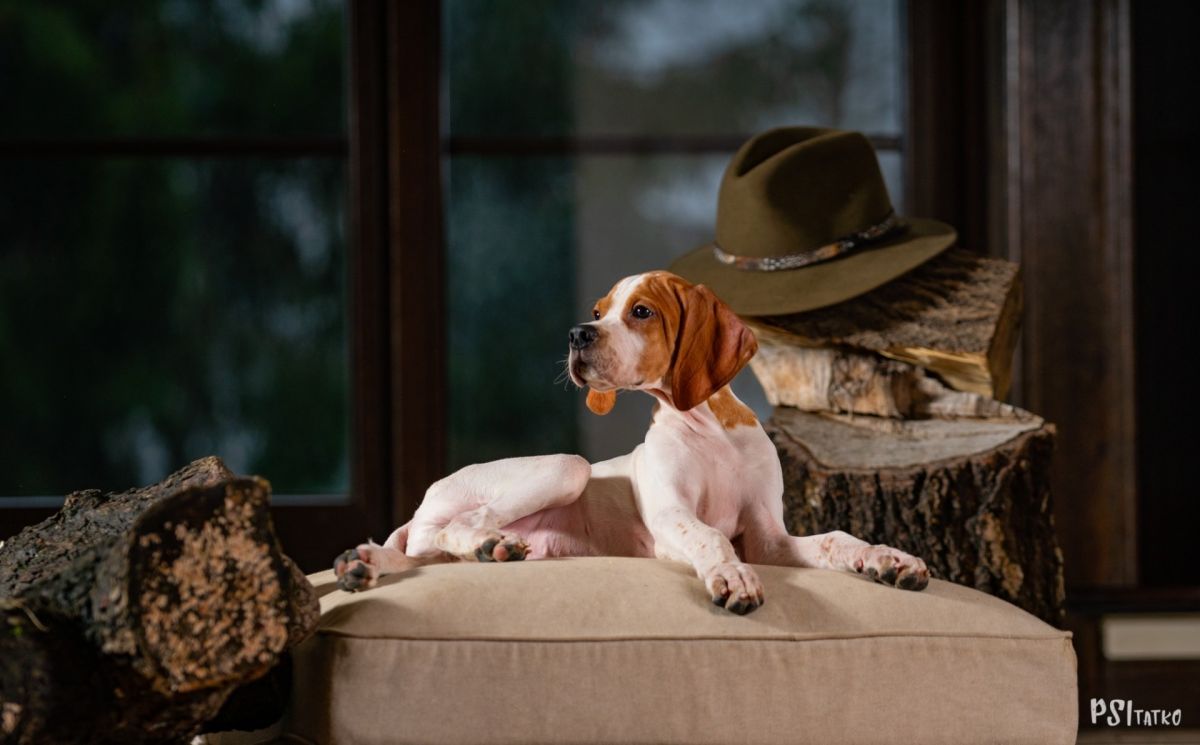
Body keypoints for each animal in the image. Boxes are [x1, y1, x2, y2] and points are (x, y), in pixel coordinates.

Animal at [334, 271, 929, 614]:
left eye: (642, 311)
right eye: (598, 313)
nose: (577, 334)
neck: (709, 429)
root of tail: (423, 501)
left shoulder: (769, 538)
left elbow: (834, 538)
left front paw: (887, 559)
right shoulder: (671, 520)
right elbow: (711, 536)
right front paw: (732, 577)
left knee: (419, 555)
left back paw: (366, 563)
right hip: (566, 466)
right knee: (452, 530)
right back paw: (487, 545)